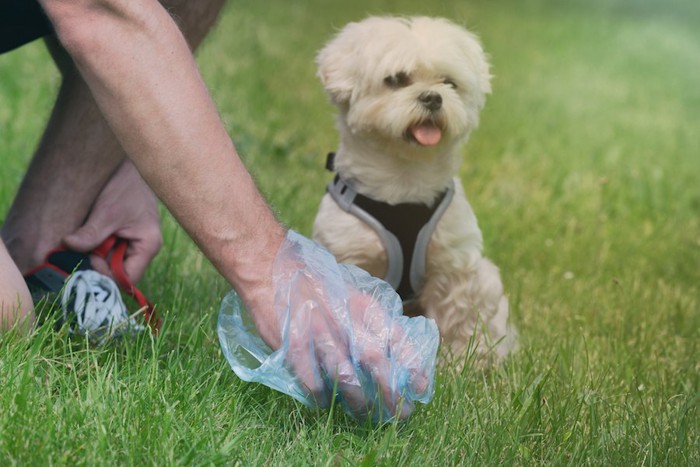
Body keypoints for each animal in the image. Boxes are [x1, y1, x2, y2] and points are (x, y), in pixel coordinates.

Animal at [312, 15, 516, 366]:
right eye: (396, 79)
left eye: (449, 83)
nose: (433, 97)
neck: (405, 181)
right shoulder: (351, 259)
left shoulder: (452, 264)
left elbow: (457, 315)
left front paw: (459, 361)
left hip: (486, 277)